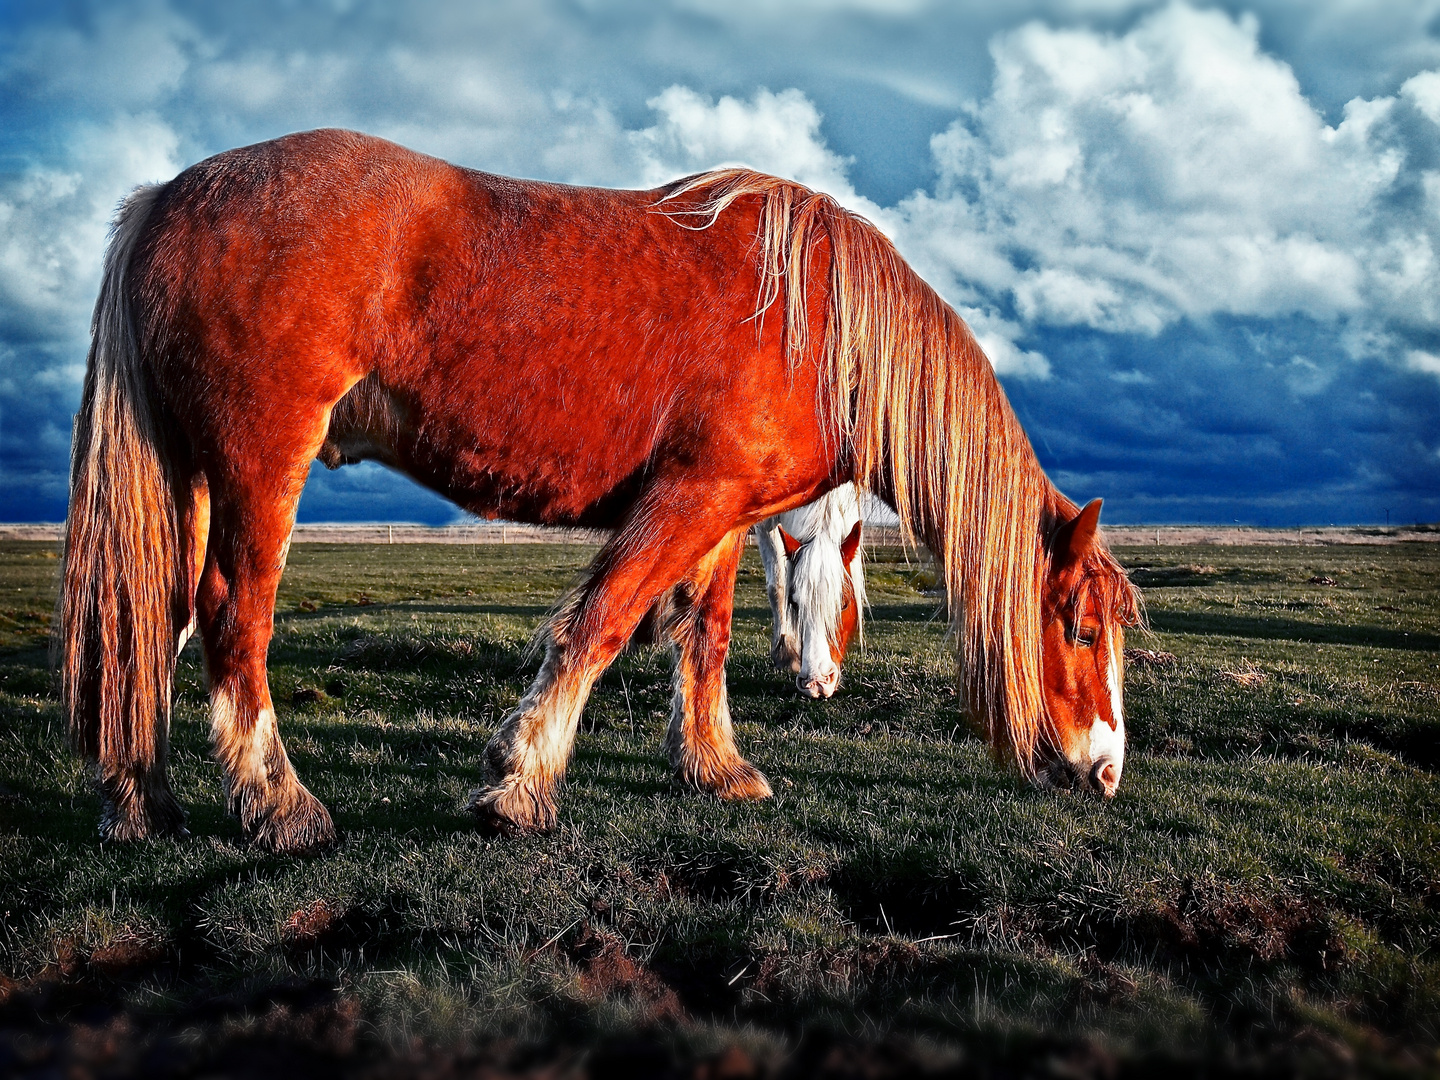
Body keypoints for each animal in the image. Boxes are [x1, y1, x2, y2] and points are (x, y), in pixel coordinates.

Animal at [754, 483, 864, 702]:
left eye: (844, 604)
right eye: (794, 604)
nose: (816, 682)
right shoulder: (765, 521)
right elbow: (777, 585)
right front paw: (785, 653)